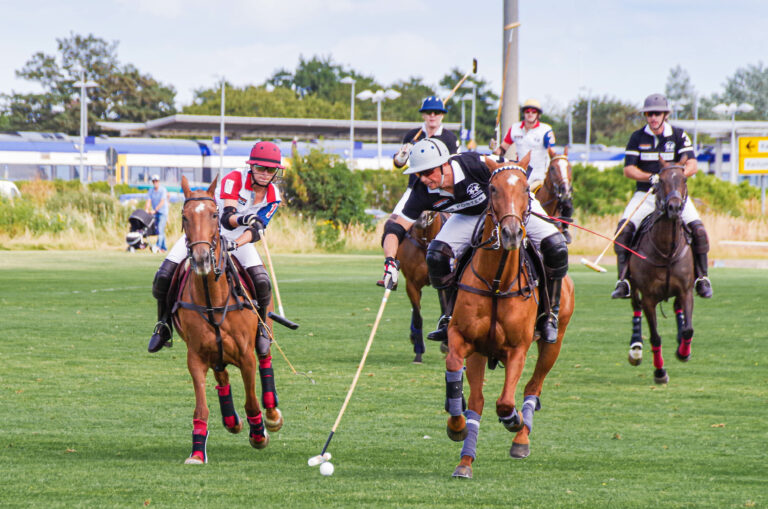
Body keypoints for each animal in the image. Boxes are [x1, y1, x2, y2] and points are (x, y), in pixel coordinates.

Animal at [172, 176, 284, 464]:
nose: (201, 258)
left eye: (213, 214)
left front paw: (259, 433)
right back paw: (231, 420)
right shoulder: (195, 356)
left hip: (261, 330)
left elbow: (252, 401)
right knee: (222, 377)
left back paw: (272, 415)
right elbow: (201, 409)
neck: (213, 299)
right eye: (184, 216)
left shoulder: (246, 355)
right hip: (216, 352)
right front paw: (197, 452)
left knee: (265, 355)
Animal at [400, 209, 448, 362]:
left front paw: (445, 342)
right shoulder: (411, 284)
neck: (426, 241)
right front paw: (418, 351)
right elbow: (417, 317)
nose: (419, 219)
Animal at [440, 157, 572, 478]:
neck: (497, 283)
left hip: (554, 343)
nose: (512, 233)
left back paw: (521, 437)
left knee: (532, 386)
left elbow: (504, 402)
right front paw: (457, 430)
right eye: (493, 189)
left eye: (526, 188)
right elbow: (461, 383)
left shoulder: (517, 349)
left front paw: (514, 420)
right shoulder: (465, 341)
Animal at [628, 161, 692, 382]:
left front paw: (683, 352)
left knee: (677, 309)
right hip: (633, 288)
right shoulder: (649, 298)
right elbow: (655, 336)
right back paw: (635, 348)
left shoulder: (686, 291)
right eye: (661, 180)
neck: (666, 251)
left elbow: (689, 330)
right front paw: (660, 371)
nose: (674, 207)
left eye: (684, 179)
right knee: (635, 306)